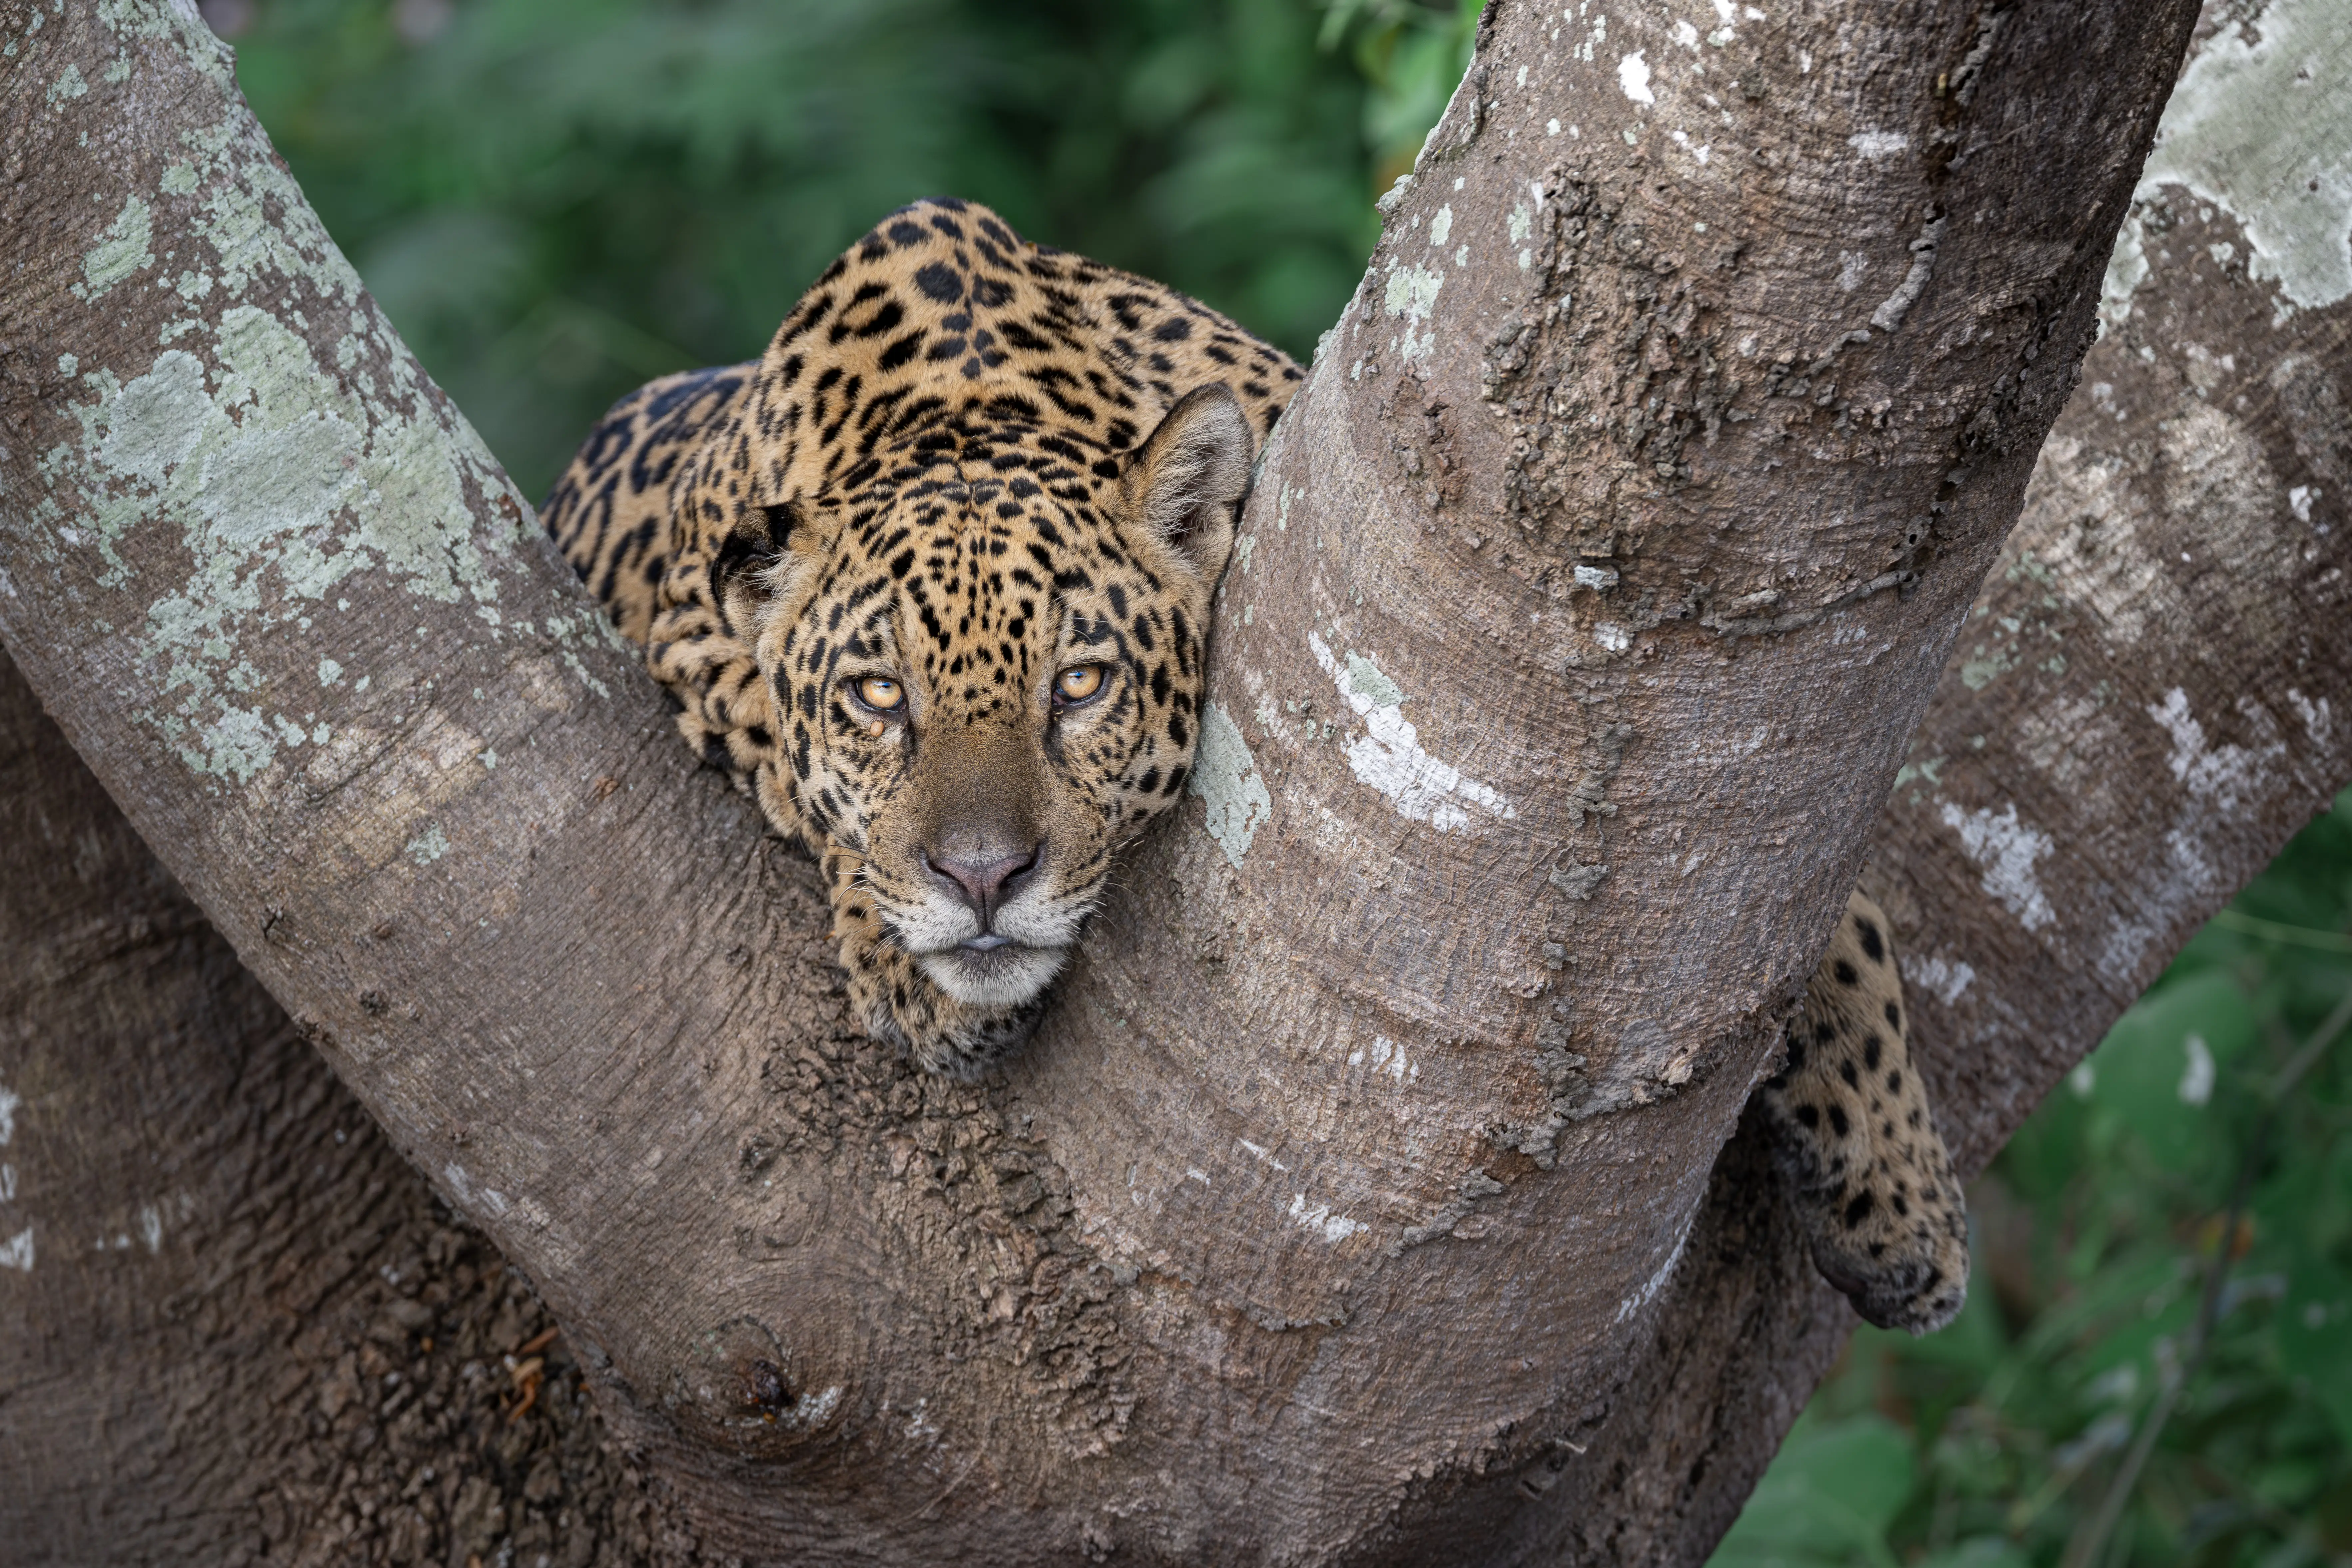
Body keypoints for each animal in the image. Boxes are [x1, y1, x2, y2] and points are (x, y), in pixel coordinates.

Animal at [540, 198, 1968, 1335]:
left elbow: (1835, 898)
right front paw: (917, 964)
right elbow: (799, 778)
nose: (986, 881)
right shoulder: (684, 641)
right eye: (876, 699)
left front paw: (1905, 1201)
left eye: (1079, 686)